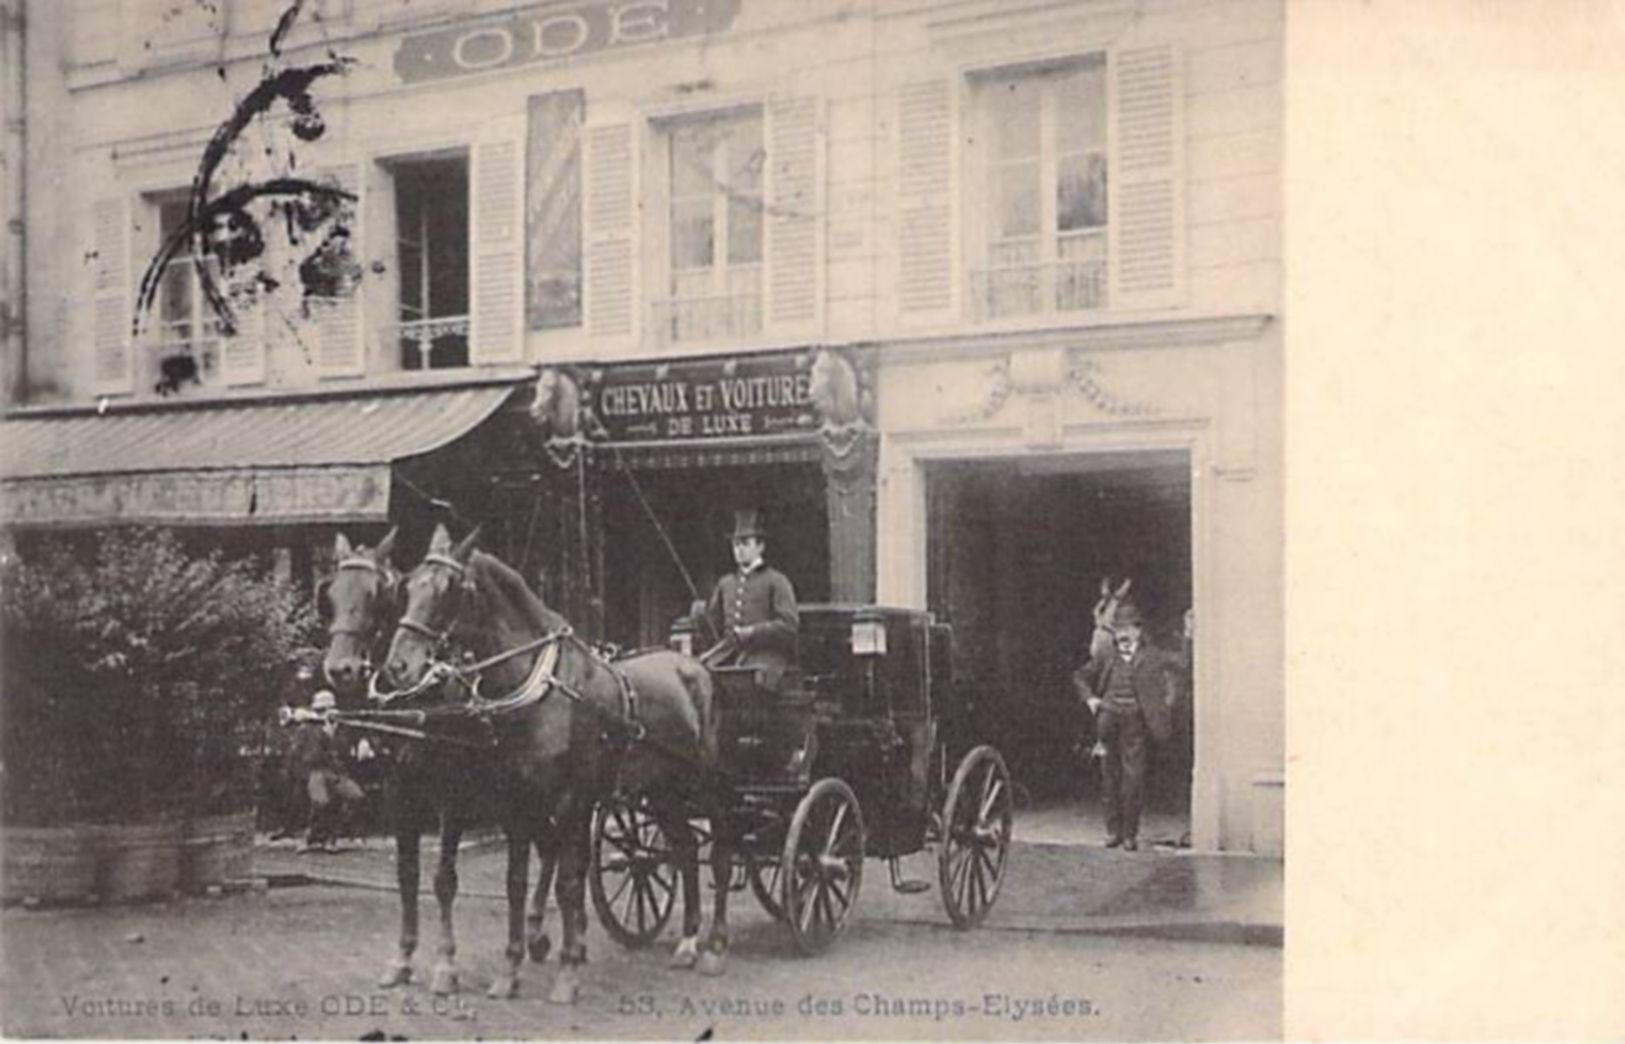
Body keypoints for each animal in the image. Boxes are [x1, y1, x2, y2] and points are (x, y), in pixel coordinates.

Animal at [318, 533, 559, 995]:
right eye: (332, 594)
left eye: (378, 594)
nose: (341, 669)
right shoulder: (399, 792)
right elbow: (407, 874)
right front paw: (402, 958)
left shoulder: (451, 796)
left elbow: (444, 880)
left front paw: (446, 965)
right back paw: (537, 934)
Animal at [383, 520, 734, 1001]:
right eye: (408, 585)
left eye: (450, 587)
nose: (398, 667)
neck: (542, 690)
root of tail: (696, 667)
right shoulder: (516, 804)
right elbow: (517, 882)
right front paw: (510, 970)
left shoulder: (571, 802)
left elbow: (569, 883)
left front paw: (567, 972)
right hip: (663, 791)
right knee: (683, 848)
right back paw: (686, 942)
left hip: (704, 785)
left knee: (719, 854)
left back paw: (714, 945)